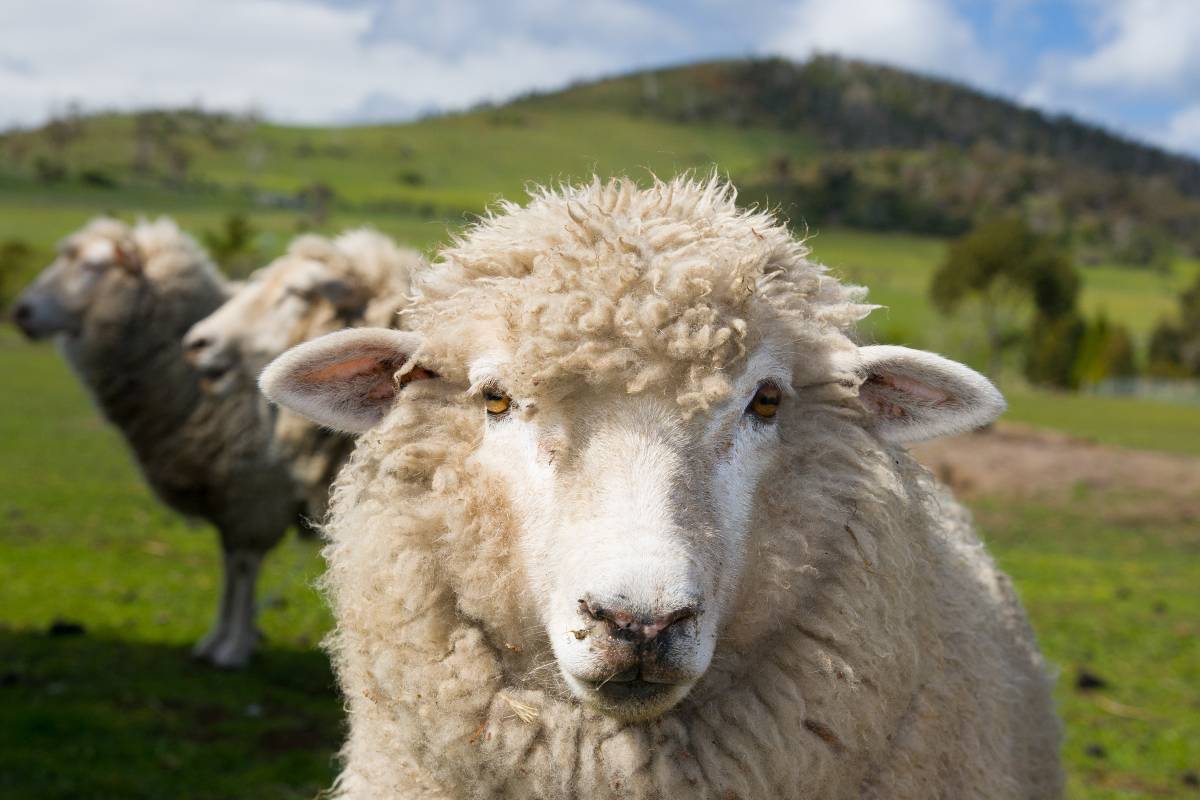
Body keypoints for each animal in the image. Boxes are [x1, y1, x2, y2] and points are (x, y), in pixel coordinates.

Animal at [12, 217, 302, 671]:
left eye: (92, 266)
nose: (20, 312)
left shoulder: (255, 492)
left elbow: (242, 567)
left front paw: (233, 649)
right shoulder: (232, 496)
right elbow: (227, 565)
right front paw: (215, 640)